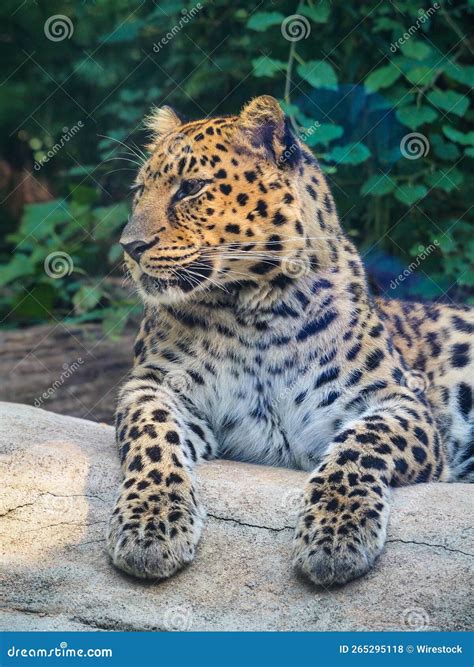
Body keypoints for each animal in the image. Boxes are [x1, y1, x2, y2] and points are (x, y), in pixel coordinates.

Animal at [105, 96, 472, 588]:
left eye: (191, 188)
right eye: (139, 190)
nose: (129, 246)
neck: (256, 312)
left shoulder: (400, 401)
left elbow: (362, 443)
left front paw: (337, 532)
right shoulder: (154, 385)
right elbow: (152, 435)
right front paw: (151, 522)